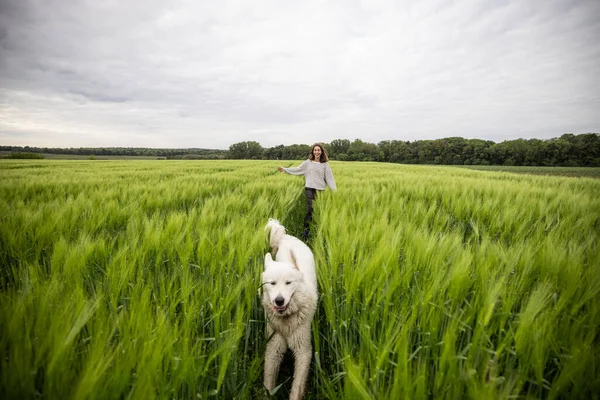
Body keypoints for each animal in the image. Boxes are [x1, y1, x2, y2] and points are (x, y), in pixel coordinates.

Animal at [262, 219, 318, 400]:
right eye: (272, 283)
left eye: (288, 283)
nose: (279, 301)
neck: (287, 321)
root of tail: (286, 238)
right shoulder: (273, 346)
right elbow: (268, 380)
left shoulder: (304, 350)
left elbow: (297, 385)